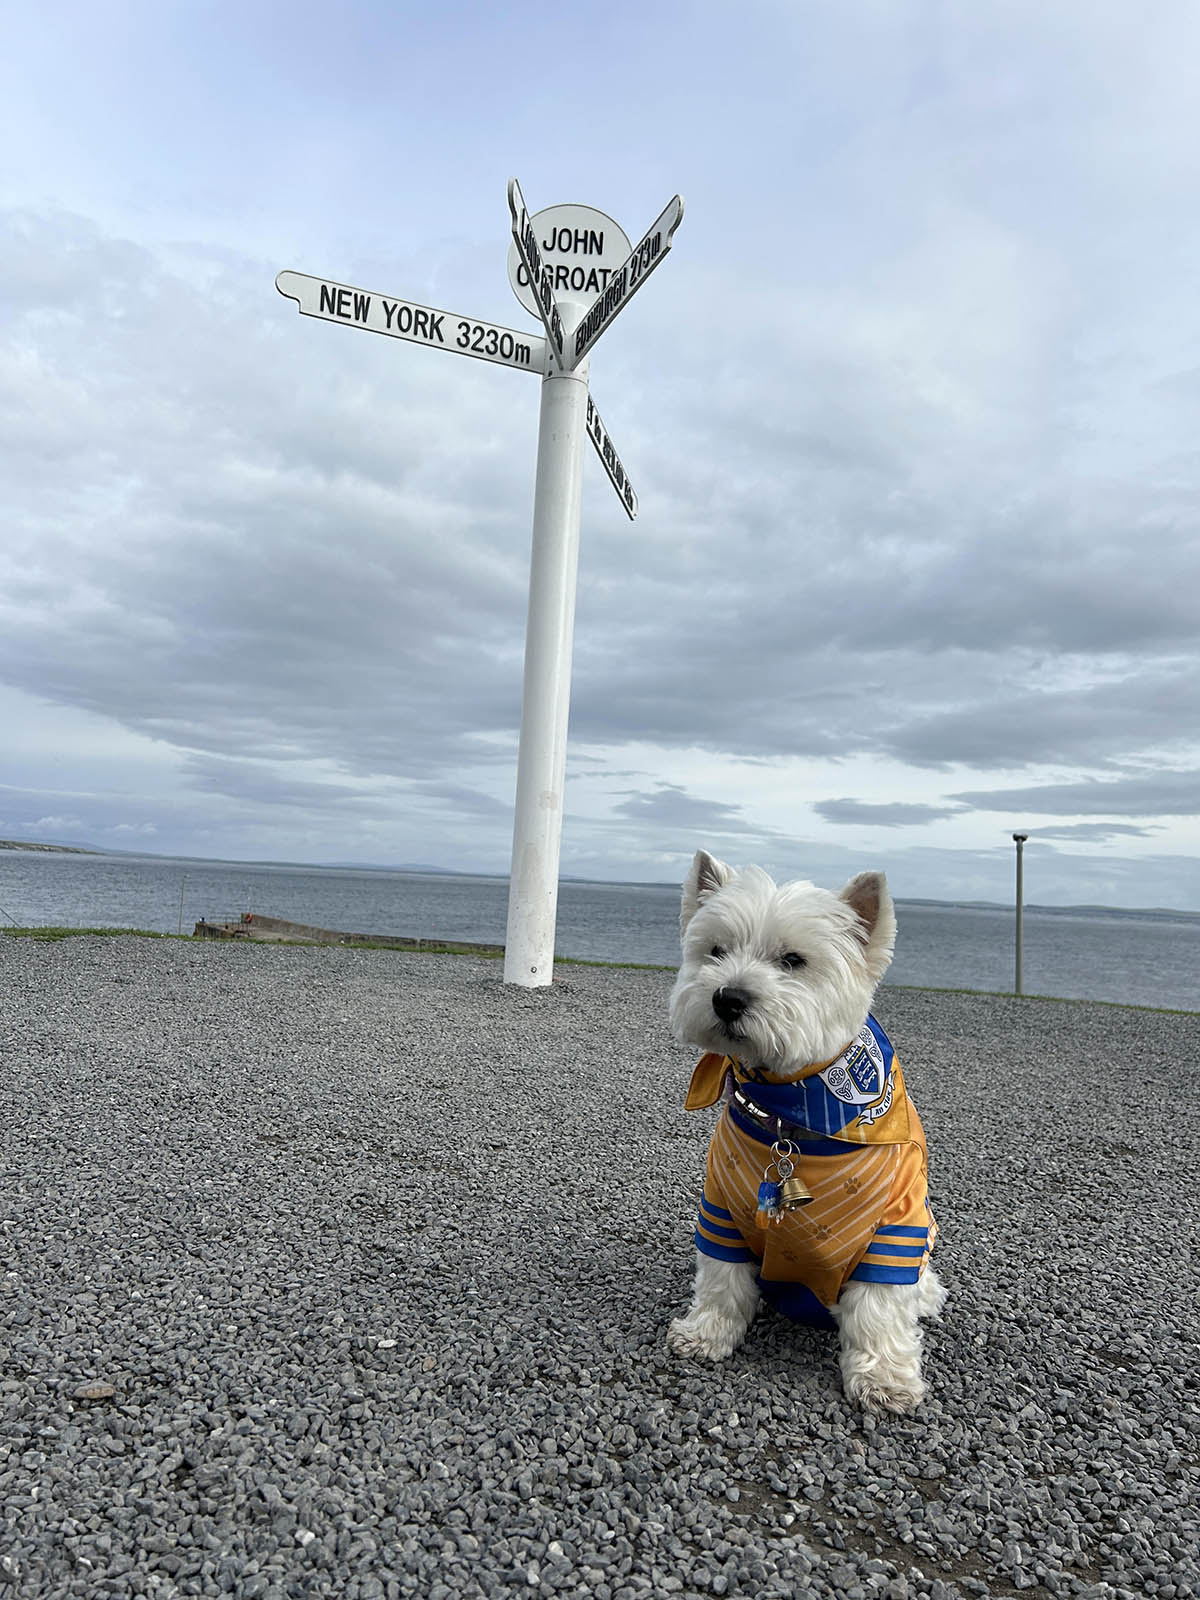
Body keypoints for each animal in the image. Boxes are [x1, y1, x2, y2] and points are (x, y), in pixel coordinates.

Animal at [668, 851, 947, 1414]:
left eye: (793, 960)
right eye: (716, 951)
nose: (727, 997)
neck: (791, 1118)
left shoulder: (893, 1232)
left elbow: (880, 1310)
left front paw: (884, 1379)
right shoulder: (723, 1209)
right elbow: (721, 1279)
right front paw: (706, 1333)